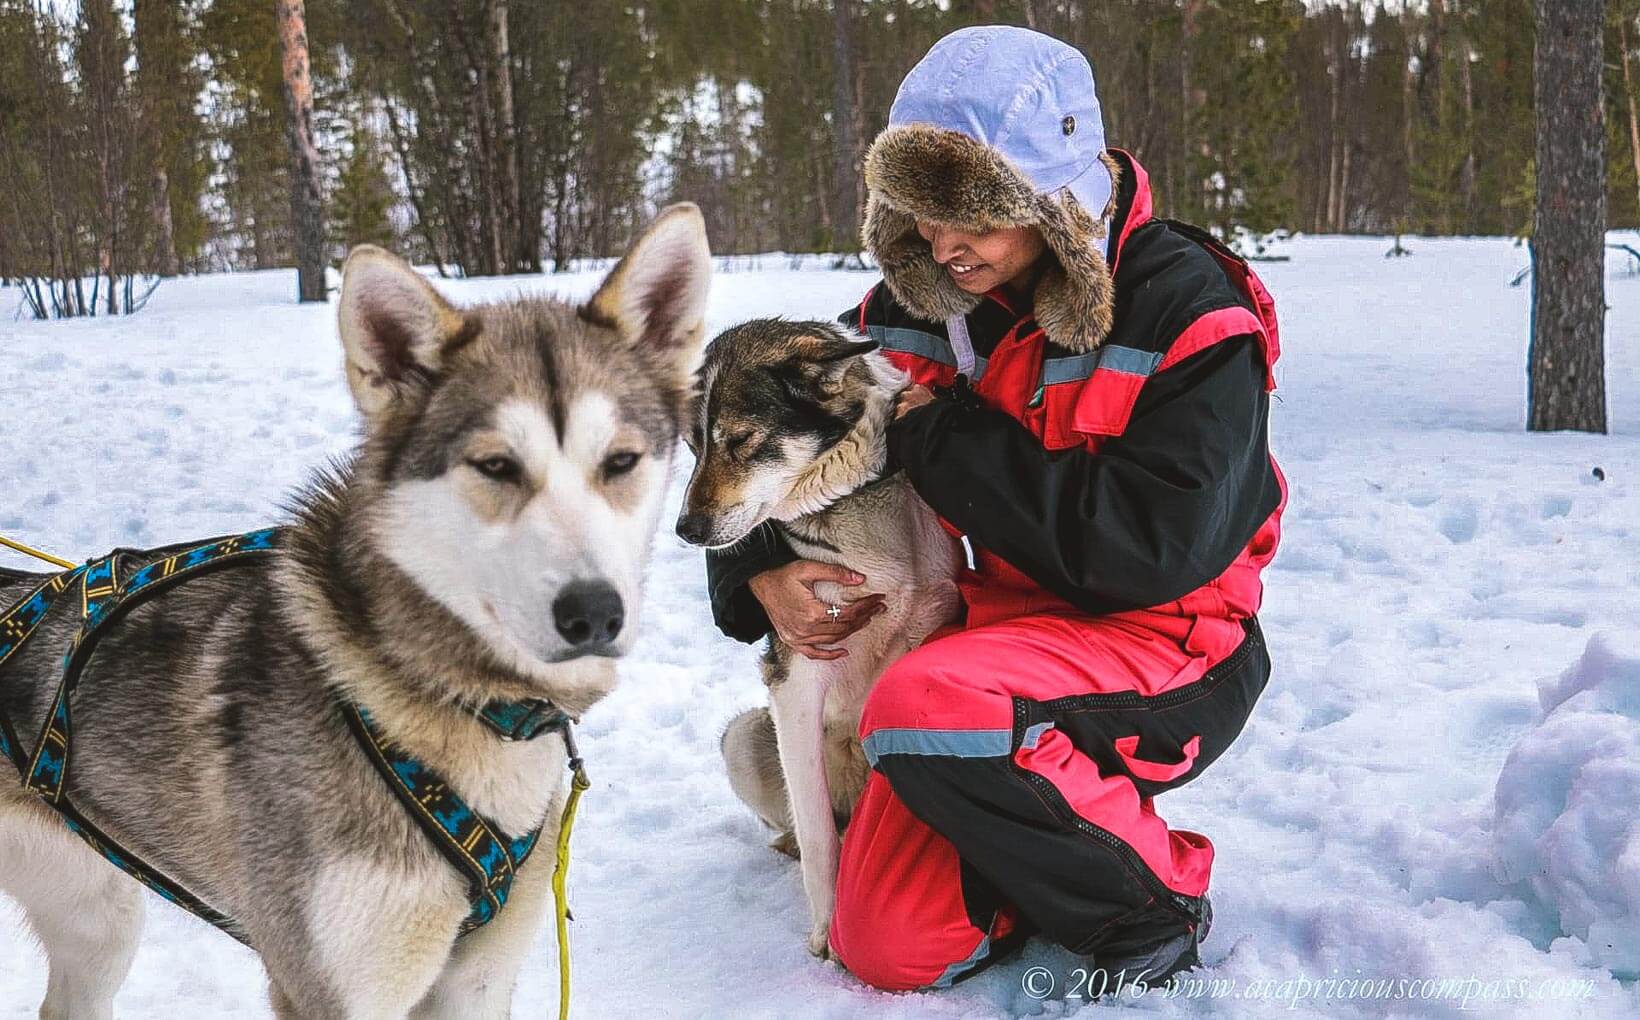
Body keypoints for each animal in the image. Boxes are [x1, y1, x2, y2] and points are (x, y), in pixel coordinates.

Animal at [3, 204, 715, 1016]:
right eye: (496, 465)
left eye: (620, 462)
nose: (594, 613)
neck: (458, 706)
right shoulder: (333, 986)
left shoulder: (477, 982)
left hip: (100, 924)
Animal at [675, 319, 957, 957]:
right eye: (693, 447)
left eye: (740, 440)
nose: (685, 530)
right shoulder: (797, 684)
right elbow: (819, 840)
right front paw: (827, 934)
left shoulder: (927, 625)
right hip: (745, 734)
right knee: (808, 827)